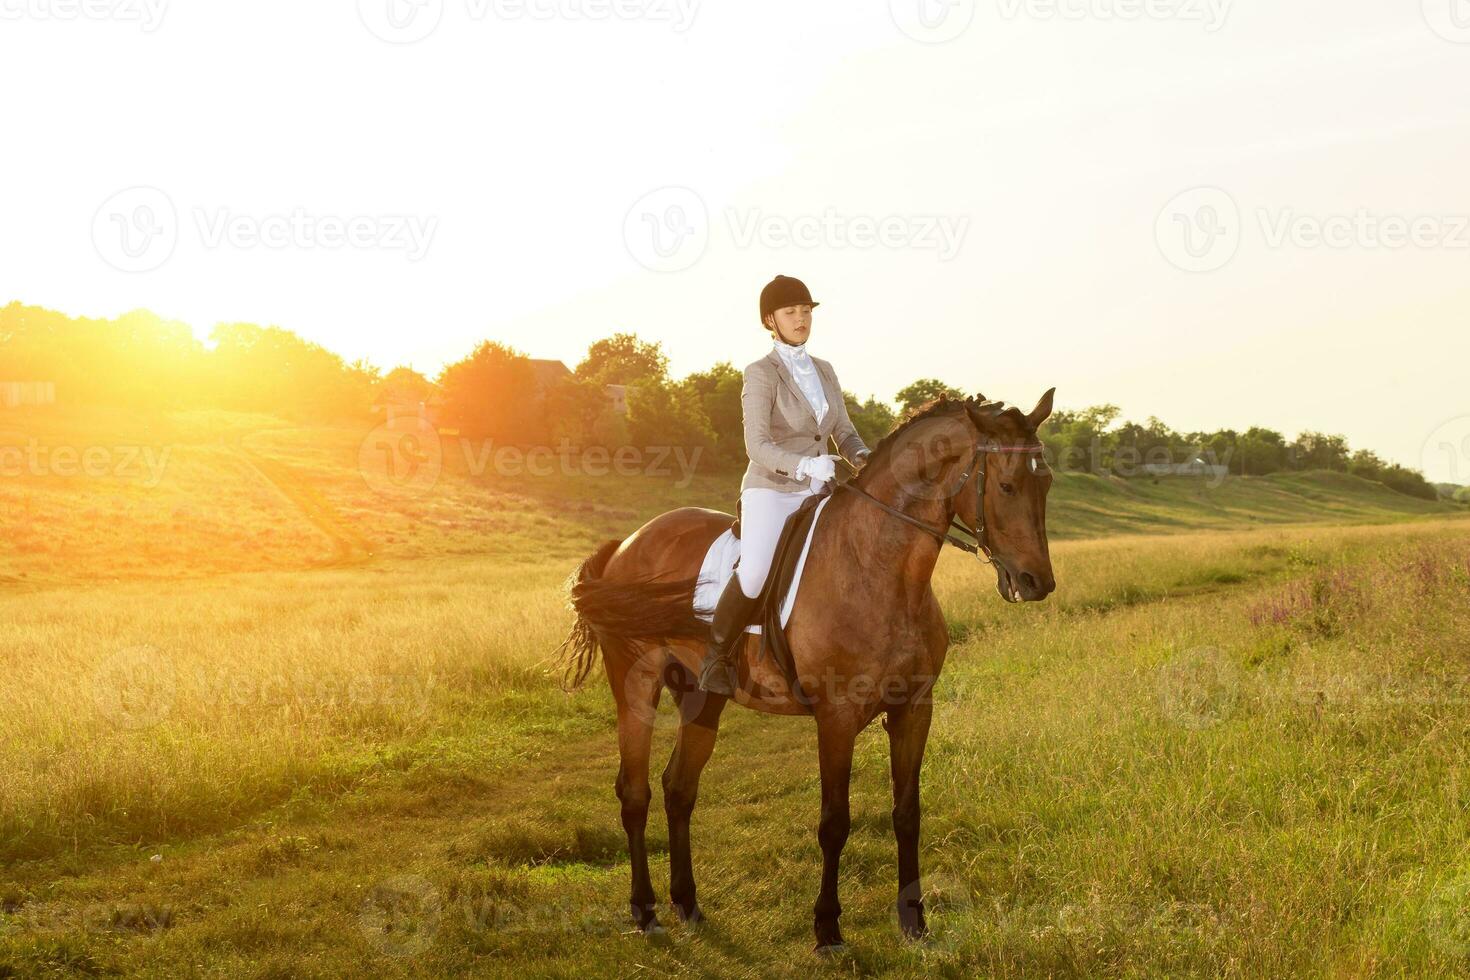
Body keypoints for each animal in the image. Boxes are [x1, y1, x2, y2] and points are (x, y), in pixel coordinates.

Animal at [552, 387, 1058, 952]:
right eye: (1007, 485)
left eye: (1046, 481)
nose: (1036, 582)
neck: (878, 566)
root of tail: (625, 545)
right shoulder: (836, 718)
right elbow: (834, 822)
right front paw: (828, 927)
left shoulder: (913, 710)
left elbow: (907, 813)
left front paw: (914, 921)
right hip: (636, 685)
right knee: (634, 792)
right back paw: (645, 910)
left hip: (703, 696)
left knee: (678, 788)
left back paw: (688, 905)